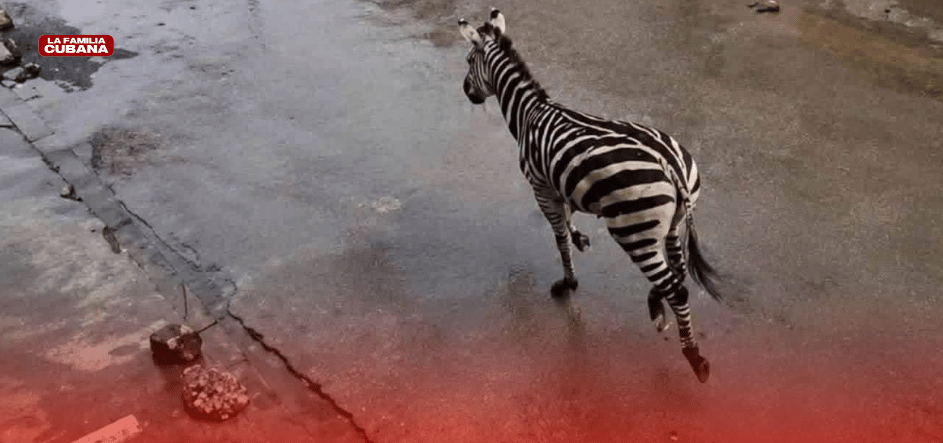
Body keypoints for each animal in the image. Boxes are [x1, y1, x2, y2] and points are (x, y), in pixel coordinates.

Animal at [458, 10, 724, 382]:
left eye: (469, 61)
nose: (466, 91)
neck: (530, 112)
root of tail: (669, 162)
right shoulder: (557, 183)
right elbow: (568, 219)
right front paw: (580, 238)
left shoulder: (539, 187)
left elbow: (558, 236)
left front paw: (568, 282)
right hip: (672, 222)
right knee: (678, 271)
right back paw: (656, 305)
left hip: (633, 231)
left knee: (677, 286)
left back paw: (693, 356)